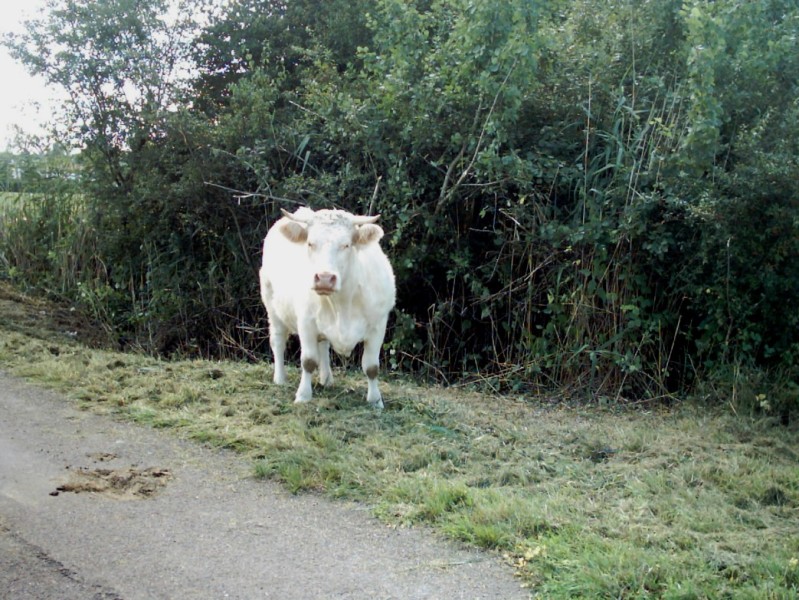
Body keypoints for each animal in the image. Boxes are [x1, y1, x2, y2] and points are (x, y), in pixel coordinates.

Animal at [260, 206, 396, 408]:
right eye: (310, 243)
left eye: (346, 245)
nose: (324, 278)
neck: (343, 303)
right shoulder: (306, 322)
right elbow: (308, 361)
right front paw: (303, 395)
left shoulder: (378, 325)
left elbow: (372, 367)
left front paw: (375, 401)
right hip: (271, 306)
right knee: (278, 340)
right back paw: (280, 378)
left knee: (323, 344)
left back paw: (326, 378)